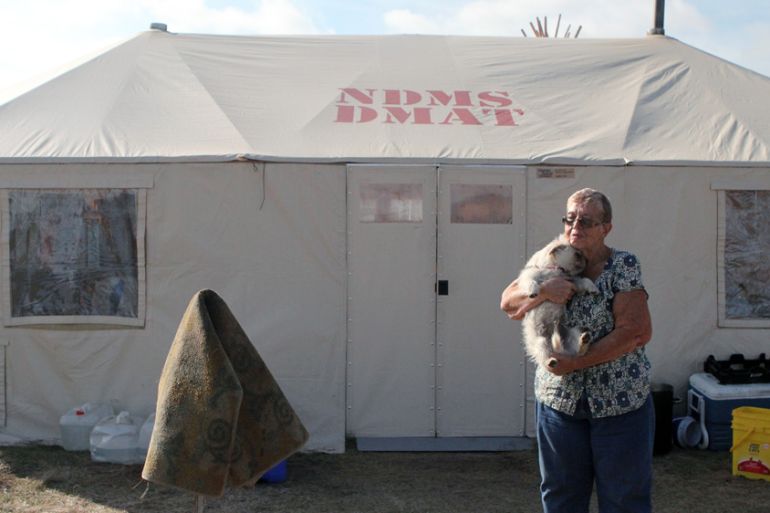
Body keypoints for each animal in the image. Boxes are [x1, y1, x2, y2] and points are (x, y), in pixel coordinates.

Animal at [517, 236, 599, 369]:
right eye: (577, 254)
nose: (587, 260)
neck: (556, 268)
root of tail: (560, 350)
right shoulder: (529, 275)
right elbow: (530, 281)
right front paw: (533, 291)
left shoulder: (572, 281)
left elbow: (584, 280)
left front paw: (592, 287)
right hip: (541, 342)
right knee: (544, 356)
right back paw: (551, 361)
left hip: (572, 332)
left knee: (578, 352)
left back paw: (584, 340)